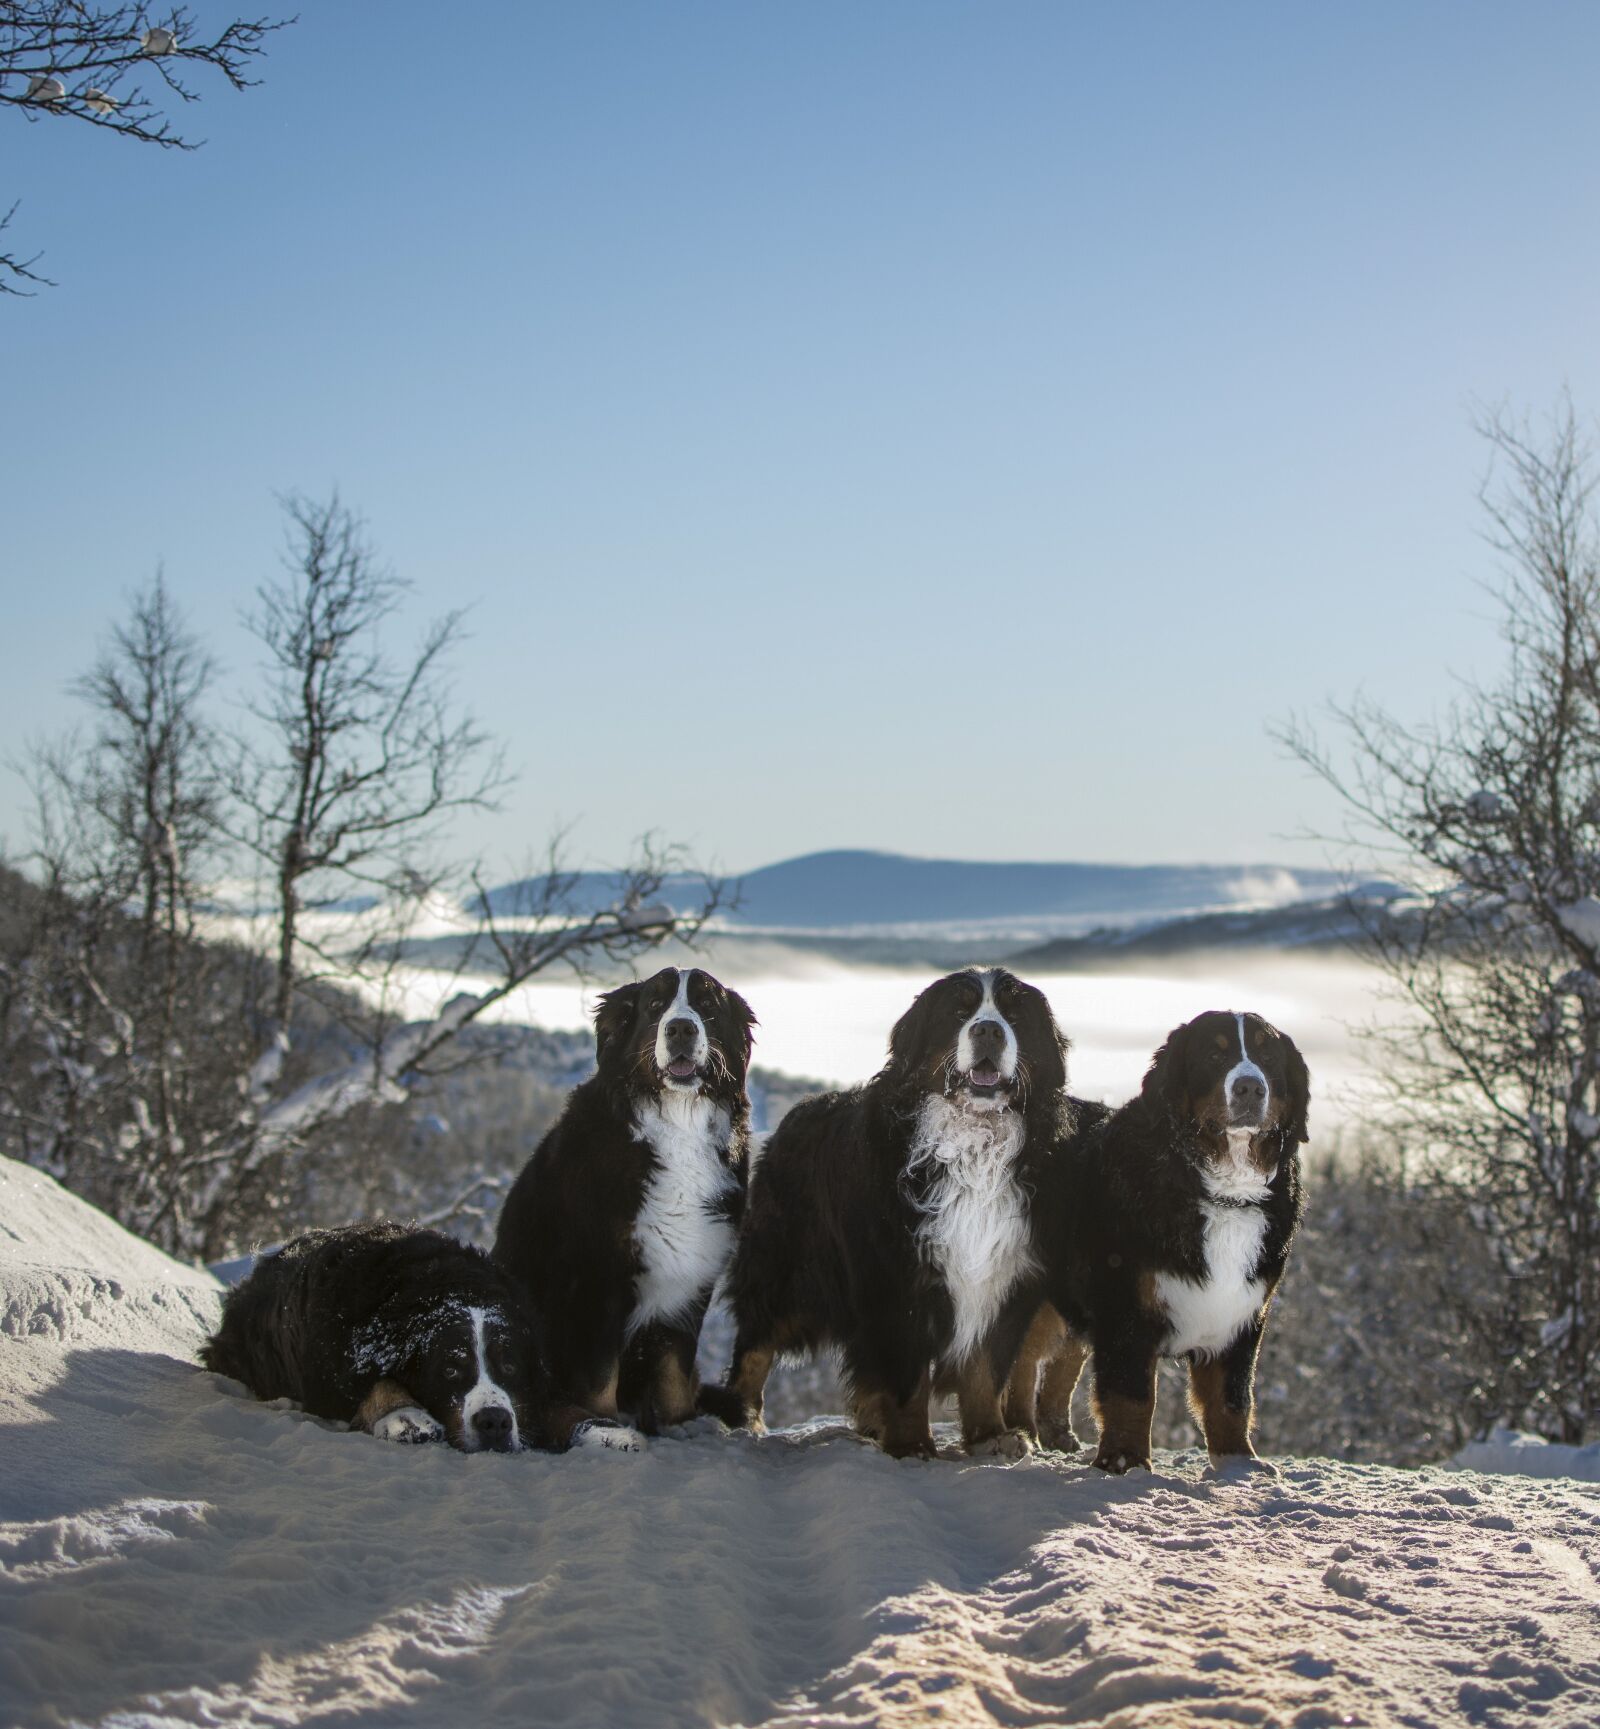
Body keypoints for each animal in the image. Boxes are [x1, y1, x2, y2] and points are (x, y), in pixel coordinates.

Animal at [201, 1224, 643, 1452]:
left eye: (510, 1365)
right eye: (449, 1369)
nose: (494, 1422)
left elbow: (558, 1405)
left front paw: (604, 1430)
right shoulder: (335, 1371)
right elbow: (378, 1383)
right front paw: (405, 1416)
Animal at [491, 968, 757, 1438]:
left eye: (708, 1004)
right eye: (655, 1005)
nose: (681, 1028)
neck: (678, 1127)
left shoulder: (691, 1277)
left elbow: (673, 1371)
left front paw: (678, 1426)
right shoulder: (597, 1278)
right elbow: (600, 1378)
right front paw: (606, 1427)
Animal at [698, 968, 1072, 1452]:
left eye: (1013, 1013)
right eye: (958, 1011)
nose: (988, 1030)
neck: (972, 1140)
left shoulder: (1002, 1275)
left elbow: (985, 1369)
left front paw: (991, 1435)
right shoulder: (894, 1278)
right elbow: (907, 1375)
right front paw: (912, 1443)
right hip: (786, 1270)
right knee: (755, 1344)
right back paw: (745, 1418)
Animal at [1003, 1009, 1307, 1473]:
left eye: (1268, 1055)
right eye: (1214, 1054)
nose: (1250, 1087)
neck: (1220, 1190)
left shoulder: (1243, 1312)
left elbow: (1232, 1396)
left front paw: (1239, 1464)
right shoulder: (1127, 1306)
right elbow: (1131, 1394)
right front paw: (1125, 1461)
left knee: (1061, 1364)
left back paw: (1057, 1436)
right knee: (1021, 1363)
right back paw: (1021, 1432)